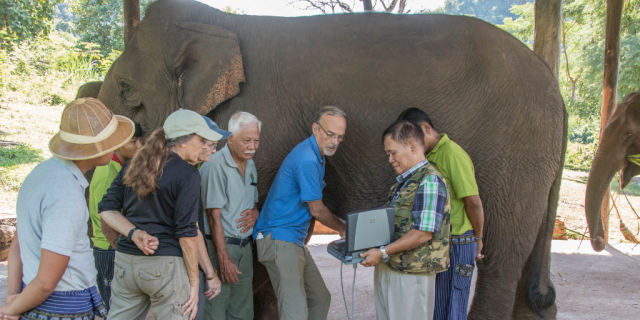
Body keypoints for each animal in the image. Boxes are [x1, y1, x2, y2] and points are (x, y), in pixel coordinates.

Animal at [90, 0, 564, 318]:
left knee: (500, 256)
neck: (218, 22)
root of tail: (555, 88)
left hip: (515, 158)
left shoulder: (268, 126)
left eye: (128, 90)